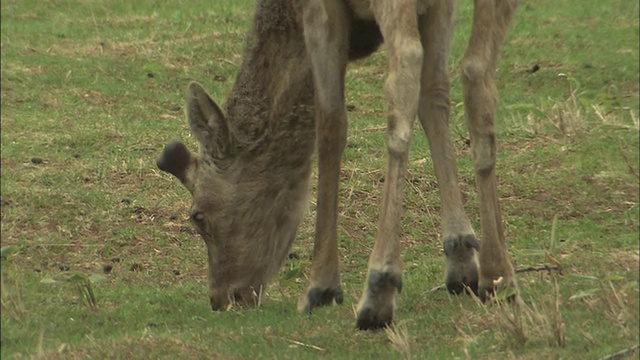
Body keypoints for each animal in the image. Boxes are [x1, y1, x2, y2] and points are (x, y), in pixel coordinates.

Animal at [156, 0, 520, 330]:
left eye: (198, 216)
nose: (220, 298)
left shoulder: (319, 10)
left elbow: (331, 123)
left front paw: (322, 285)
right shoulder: (440, 8)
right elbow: (435, 93)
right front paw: (461, 256)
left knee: (406, 71)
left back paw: (379, 288)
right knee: (476, 74)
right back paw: (498, 274)